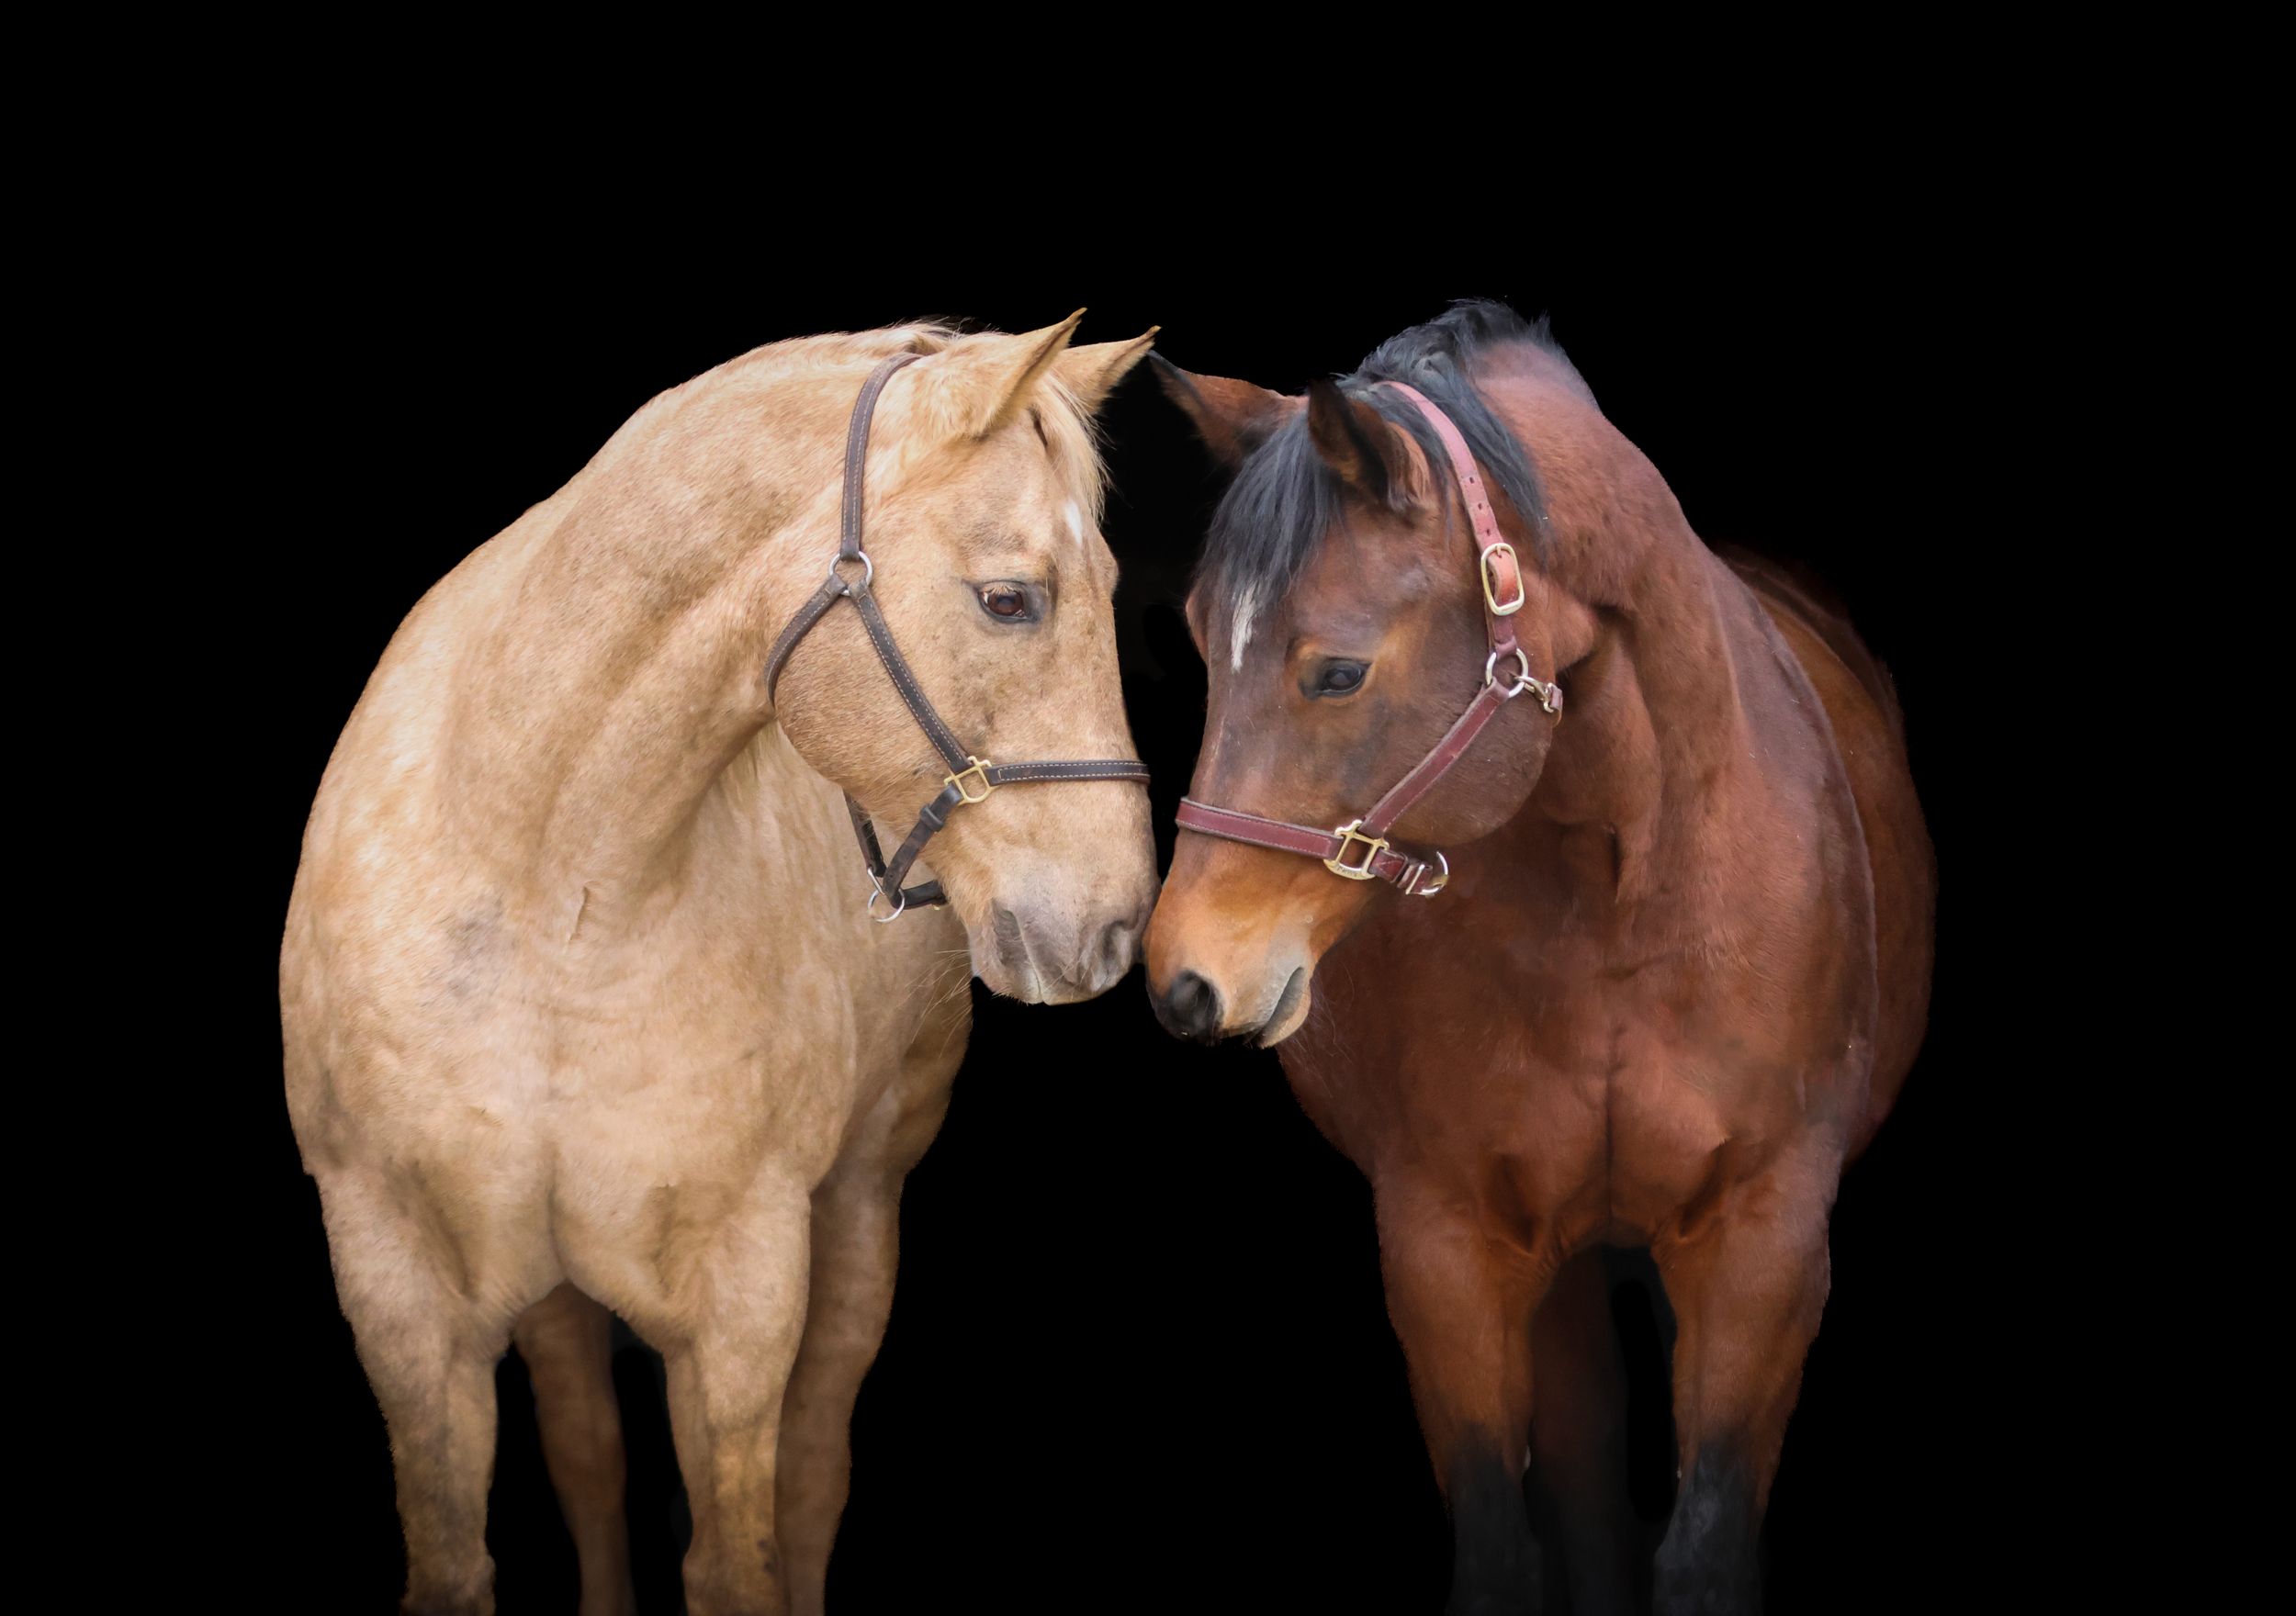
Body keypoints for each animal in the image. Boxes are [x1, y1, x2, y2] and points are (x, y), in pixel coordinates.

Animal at [281, 313, 1161, 1616]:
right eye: (1011, 600)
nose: (1110, 923)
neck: (552, 901)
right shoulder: (396, 1284)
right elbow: (465, 1548)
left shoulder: (740, 1300)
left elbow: (738, 1551)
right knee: (588, 1455)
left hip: (859, 1206)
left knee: (812, 1475)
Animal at [1141, 301, 1934, 1615]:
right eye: (1204, 645)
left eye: (1337, 669)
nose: (1184, 976)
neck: (1621, 907)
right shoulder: (1447, 1248)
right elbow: (1510, 1548)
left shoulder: (1764, 1242)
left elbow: (1704, 1548)